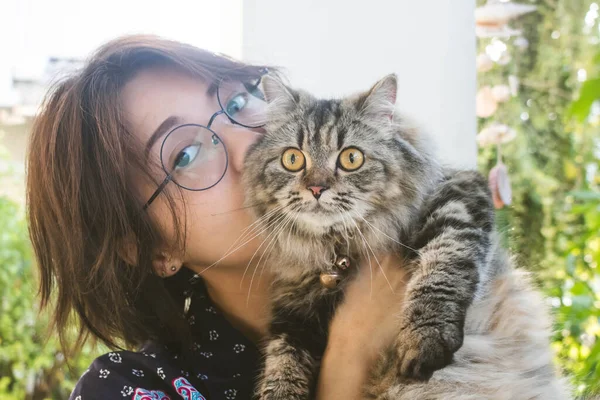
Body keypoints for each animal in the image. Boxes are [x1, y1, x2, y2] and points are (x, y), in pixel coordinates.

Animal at [241, 73, 568, 398]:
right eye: (292, 159)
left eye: (351, 158)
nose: (316, 188)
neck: (338, 245)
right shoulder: (294, 303)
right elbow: (283, 356)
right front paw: (280, 390)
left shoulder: (458, 195)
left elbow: (442, 266)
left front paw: (424, 338)